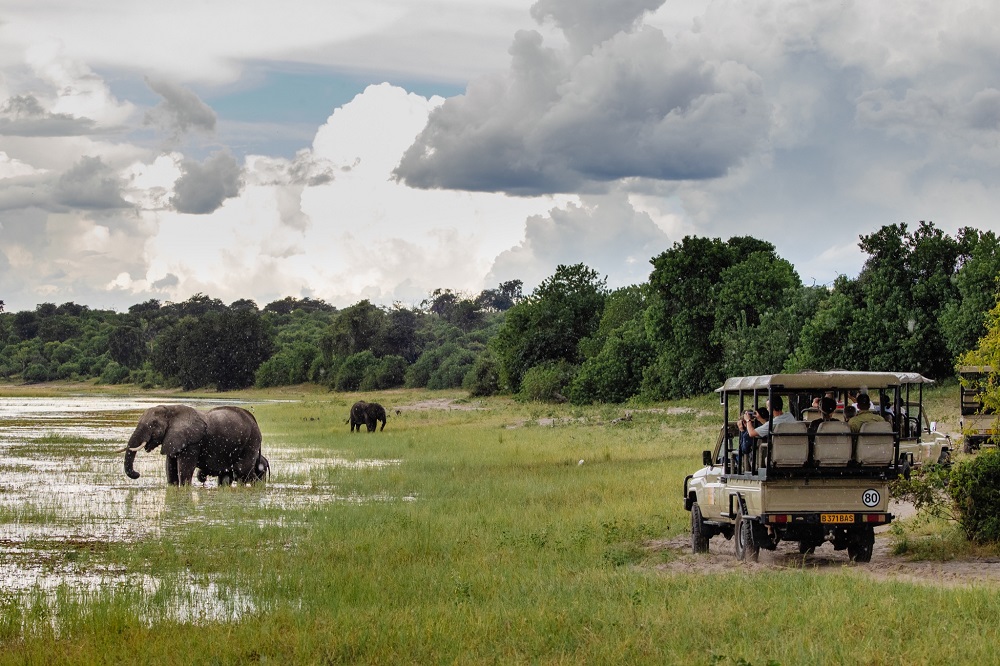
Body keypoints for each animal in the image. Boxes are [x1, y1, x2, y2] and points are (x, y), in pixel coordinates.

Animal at [119, 402, 268, 486]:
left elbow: (184, 472)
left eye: (154, 424)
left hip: (251, 440)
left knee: (242, 470)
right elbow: (171, 472)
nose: (137, 474)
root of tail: (254, 420)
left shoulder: (192, 443)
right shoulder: (174, 440)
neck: (171, 410)